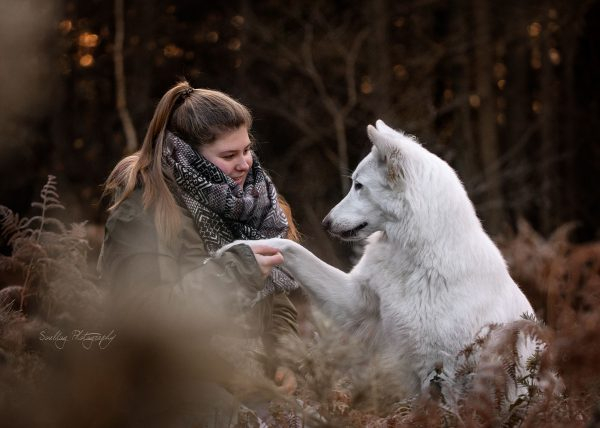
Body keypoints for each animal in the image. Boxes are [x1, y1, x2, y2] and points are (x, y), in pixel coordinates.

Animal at [223, 119, 532, 398]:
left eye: (359, 185)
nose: (325, 223)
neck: (416, 256)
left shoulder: (447, 369)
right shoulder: (354, 302)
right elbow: (289, 247)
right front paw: (242, 248)